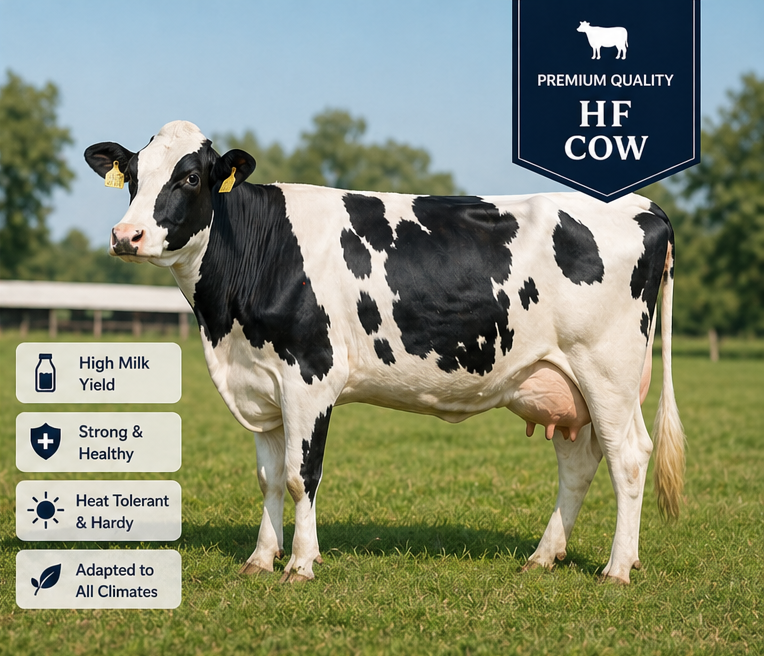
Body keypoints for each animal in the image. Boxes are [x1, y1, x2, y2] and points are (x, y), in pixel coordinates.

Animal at [85, 120, 685, 584]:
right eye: (132, 176)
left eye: (189, 177)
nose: (125, 235)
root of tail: (646, 205)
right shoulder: (261, 385)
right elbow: (270, 478)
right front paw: (259, 559)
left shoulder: (310, 376)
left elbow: (302, 476)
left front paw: (300, 565)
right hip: (563, 384)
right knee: (579, 464)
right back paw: (543, 557)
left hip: (607, 371)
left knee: (629, 458)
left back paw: (617, 568)